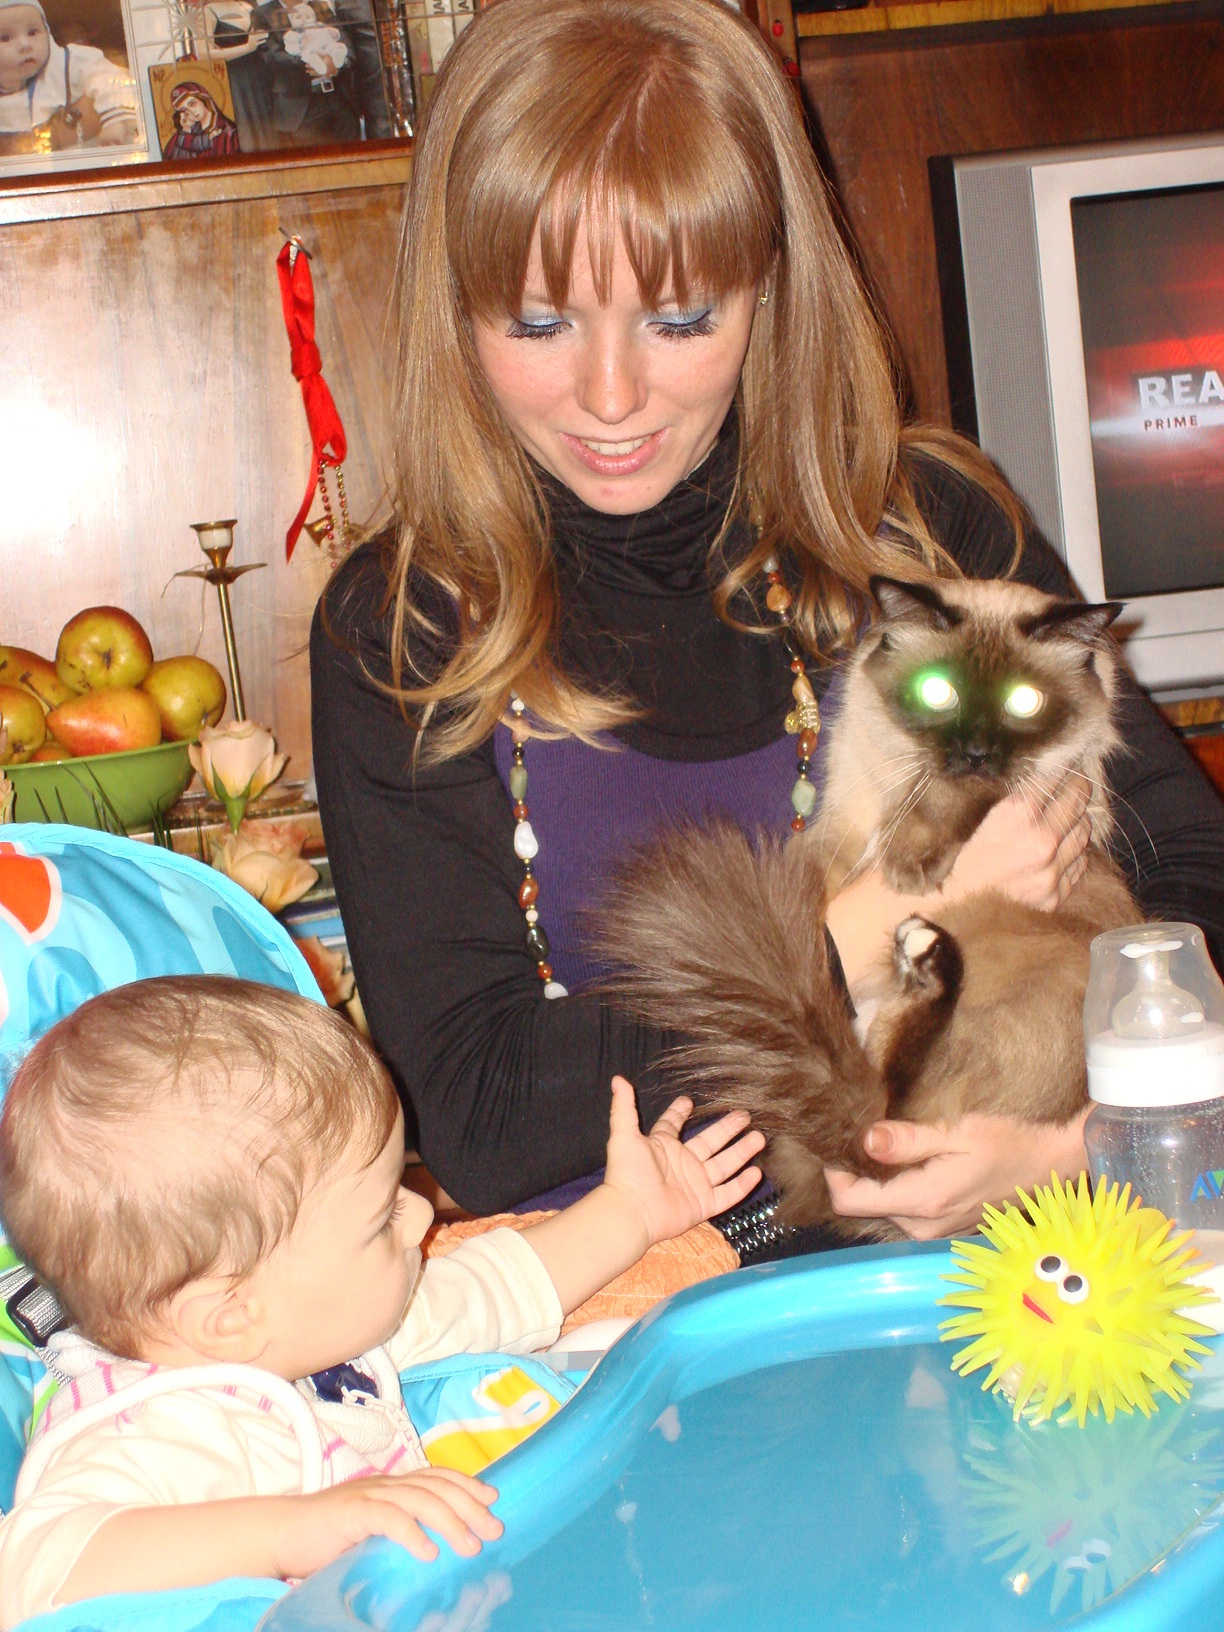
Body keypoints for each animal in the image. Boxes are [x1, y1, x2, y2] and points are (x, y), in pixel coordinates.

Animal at [593, 576, 1141, 1237]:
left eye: (1024, 702)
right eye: (937, 692)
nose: (978, 751)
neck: (893, 785)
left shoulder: (1037, 784)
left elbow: (947, 797)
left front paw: (908, 862)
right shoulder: (843, 819)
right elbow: (813, 868)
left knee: (885, 1112)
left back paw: (925, 956)